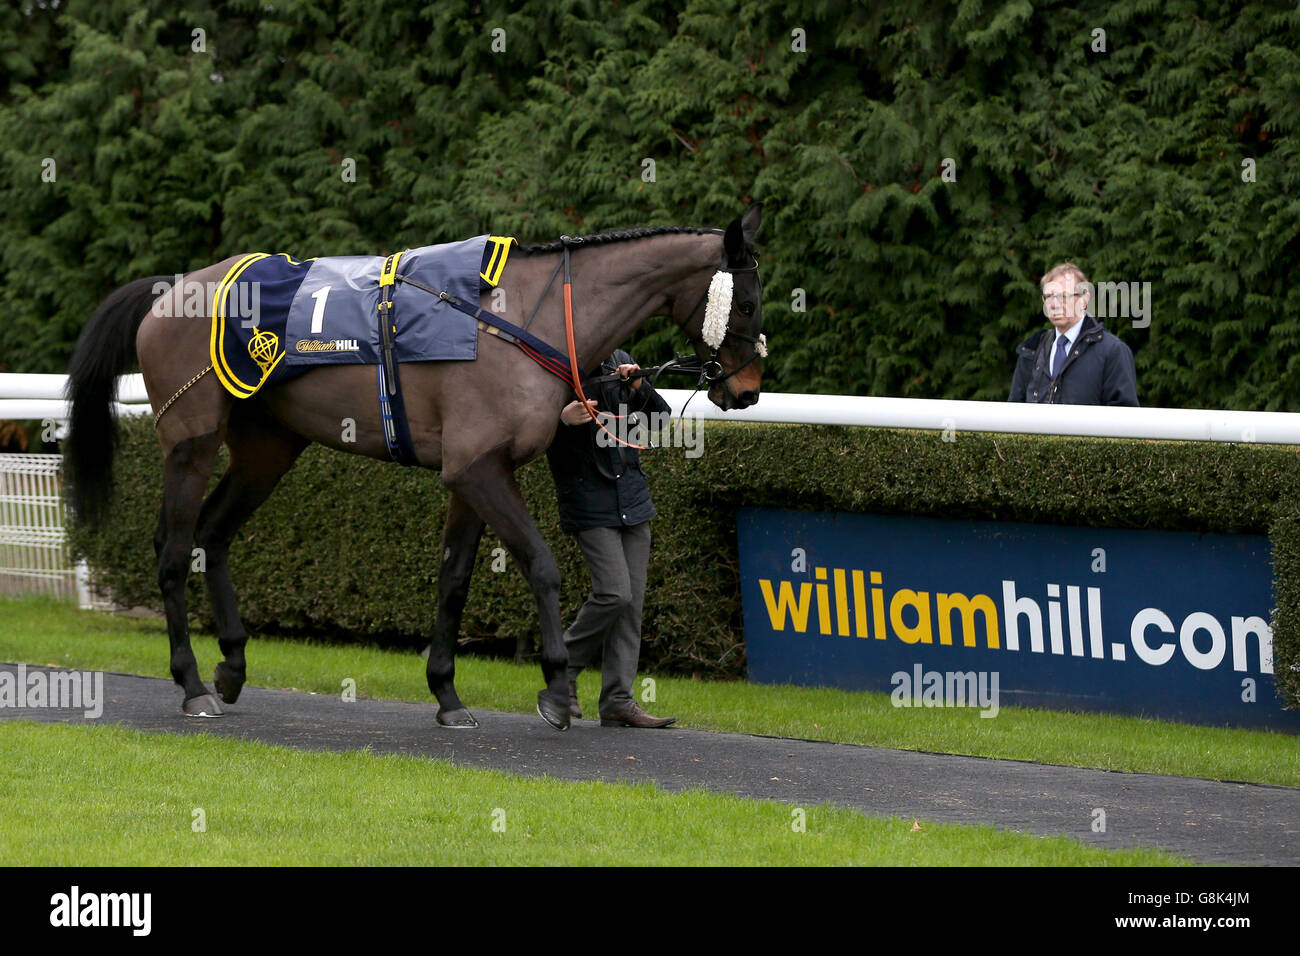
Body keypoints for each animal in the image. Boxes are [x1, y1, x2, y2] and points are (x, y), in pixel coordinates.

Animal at [65, 205, 759, 733]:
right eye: (748, 302)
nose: (747, 390)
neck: (513, 318)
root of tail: (170, 290)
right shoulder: (477, 468)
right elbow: (542, 565)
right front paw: (556, 687)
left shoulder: (475, 473)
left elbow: (454, 580)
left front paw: (447, 694)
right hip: (191, 441)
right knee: (172, 547)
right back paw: (191, 685)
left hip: (268, 449)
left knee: (213, 534)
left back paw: (231, 667)